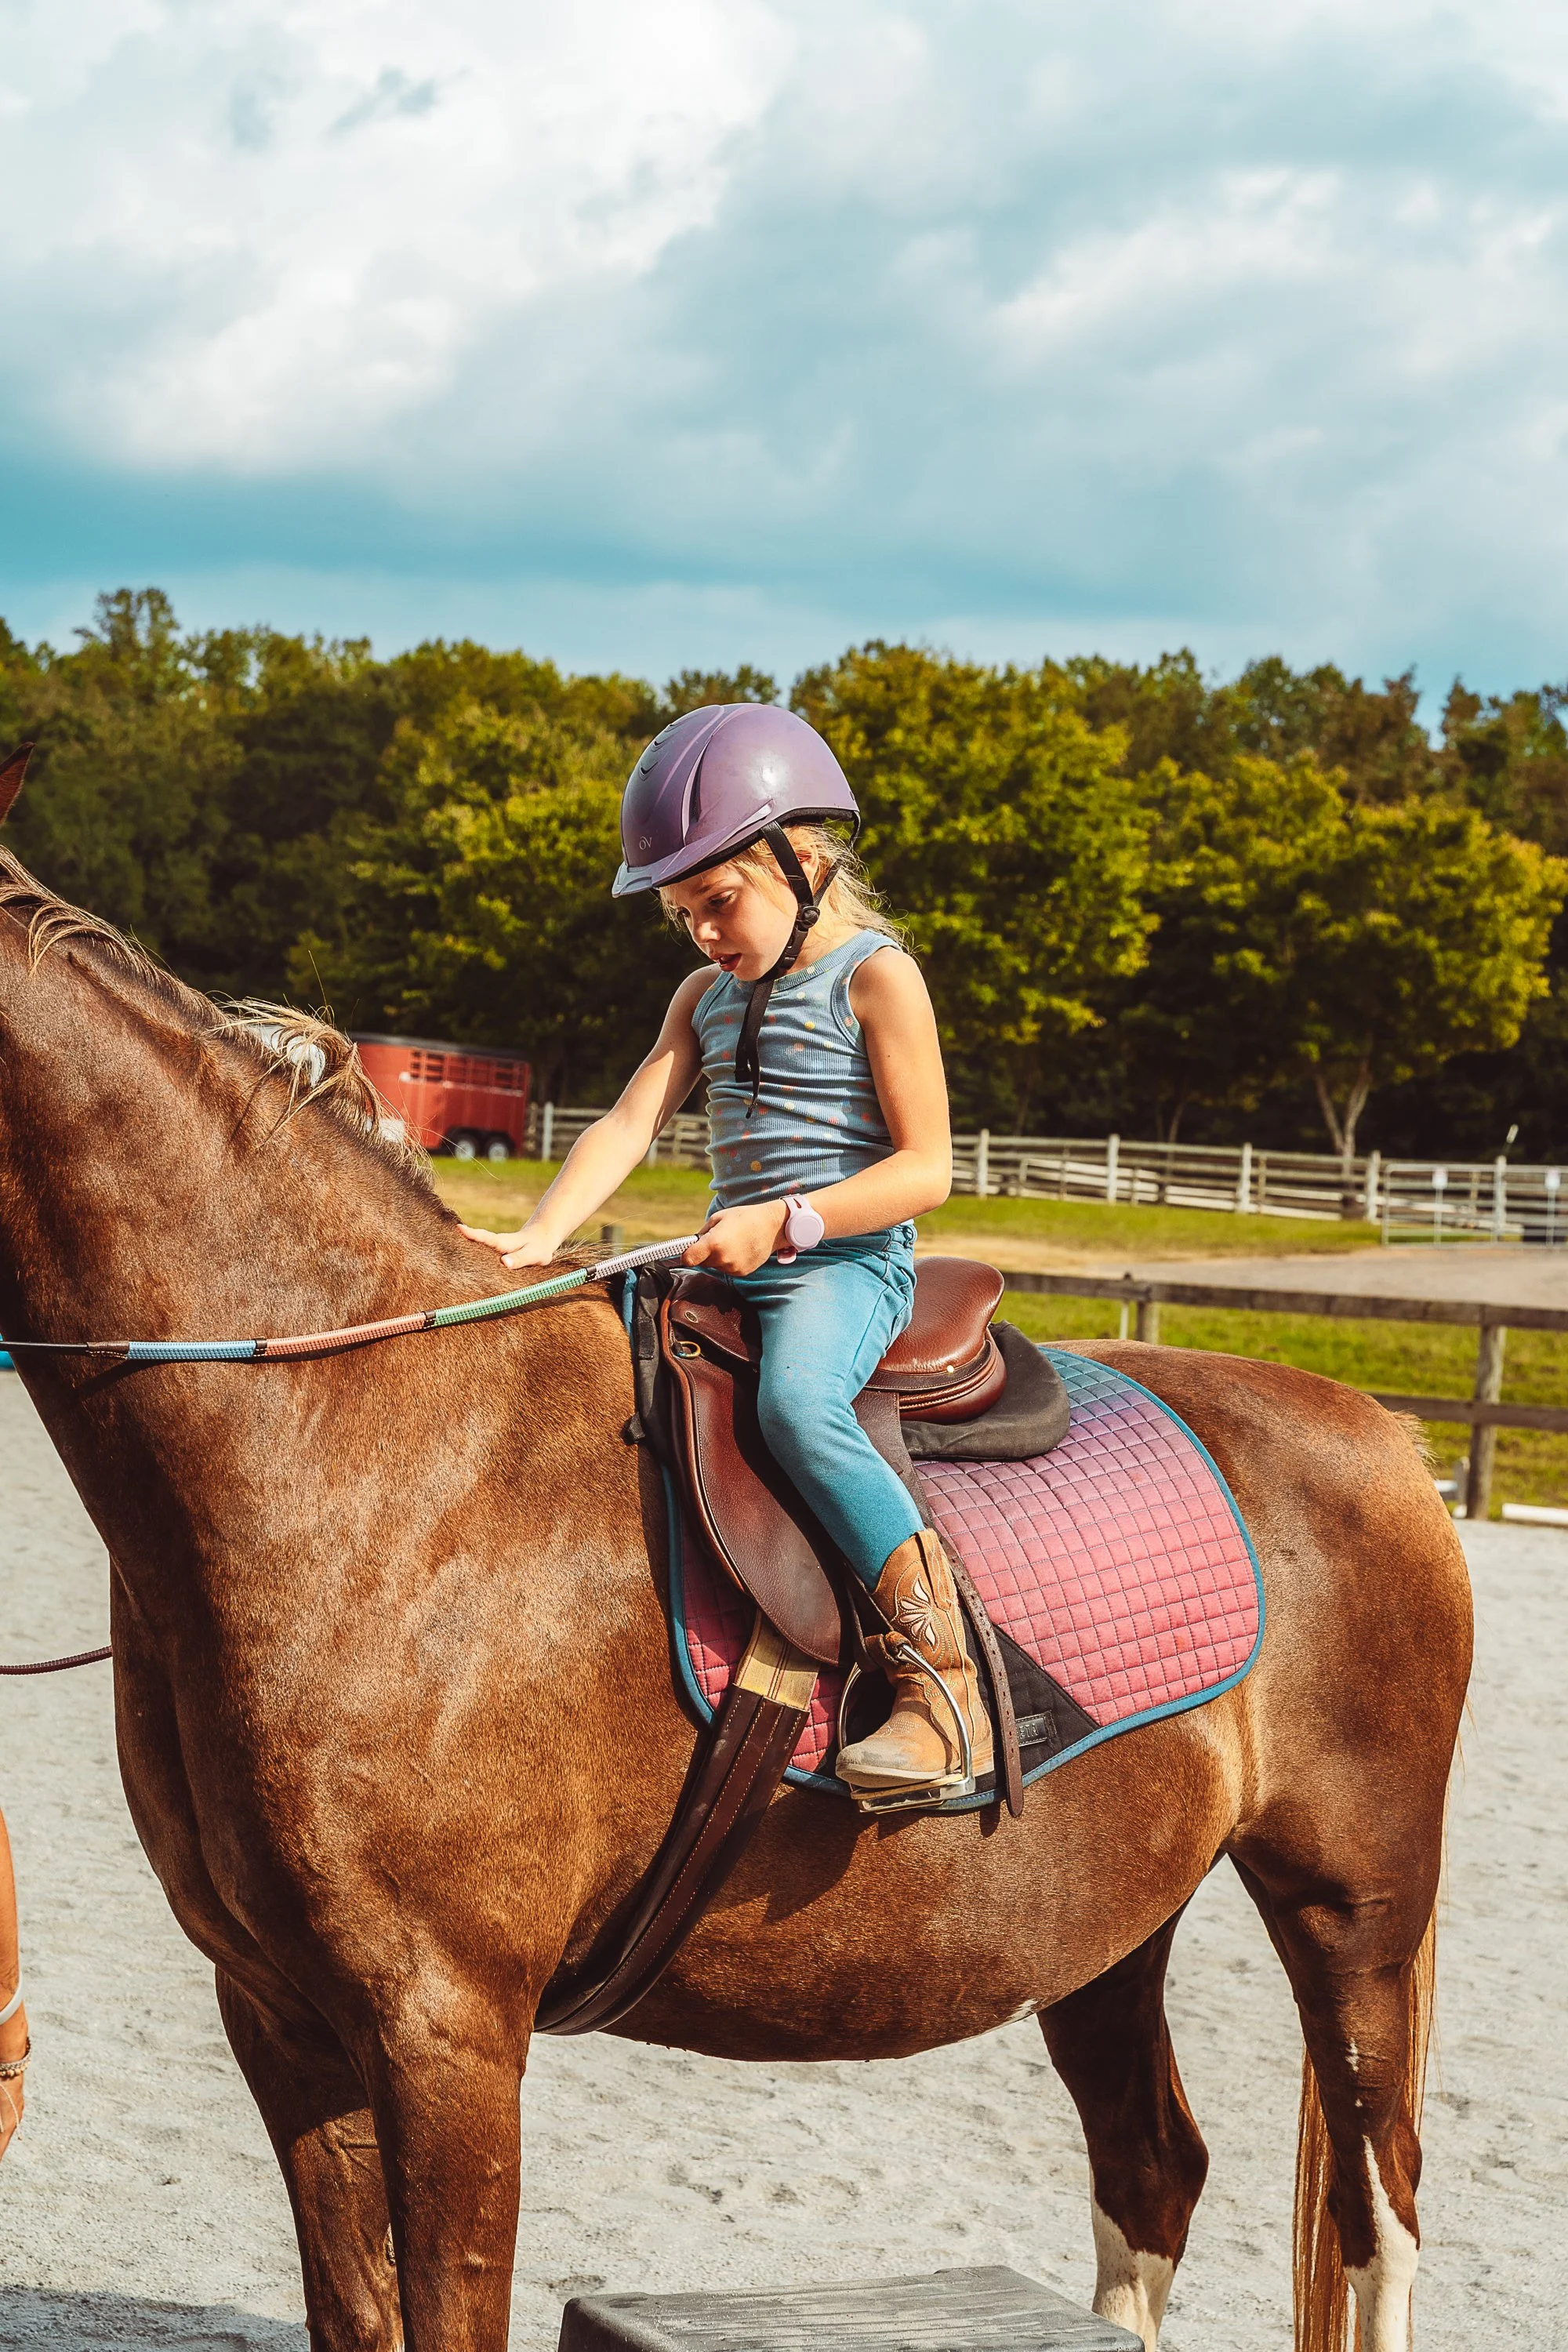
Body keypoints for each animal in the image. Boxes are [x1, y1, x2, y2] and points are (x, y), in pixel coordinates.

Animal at [0, 821, 1470, 2352]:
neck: (368, 1450)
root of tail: (1379, 1430)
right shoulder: (281, 2016)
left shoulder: (446, 2028)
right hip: (1111, 1930)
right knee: (1151, 2167)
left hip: (1354, 1910)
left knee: (1377, 2215)